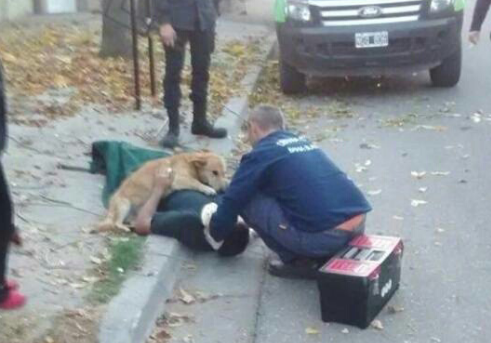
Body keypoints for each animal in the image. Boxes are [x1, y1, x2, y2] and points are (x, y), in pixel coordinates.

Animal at [97, 152, 229, 232]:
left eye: (224, 172)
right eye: (214, 172)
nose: (224, 190)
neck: (191, 164)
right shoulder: (178, 179)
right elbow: (196, 183)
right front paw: (208, 189)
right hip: (124, 204)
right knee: (116, 223)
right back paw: (124, 228)